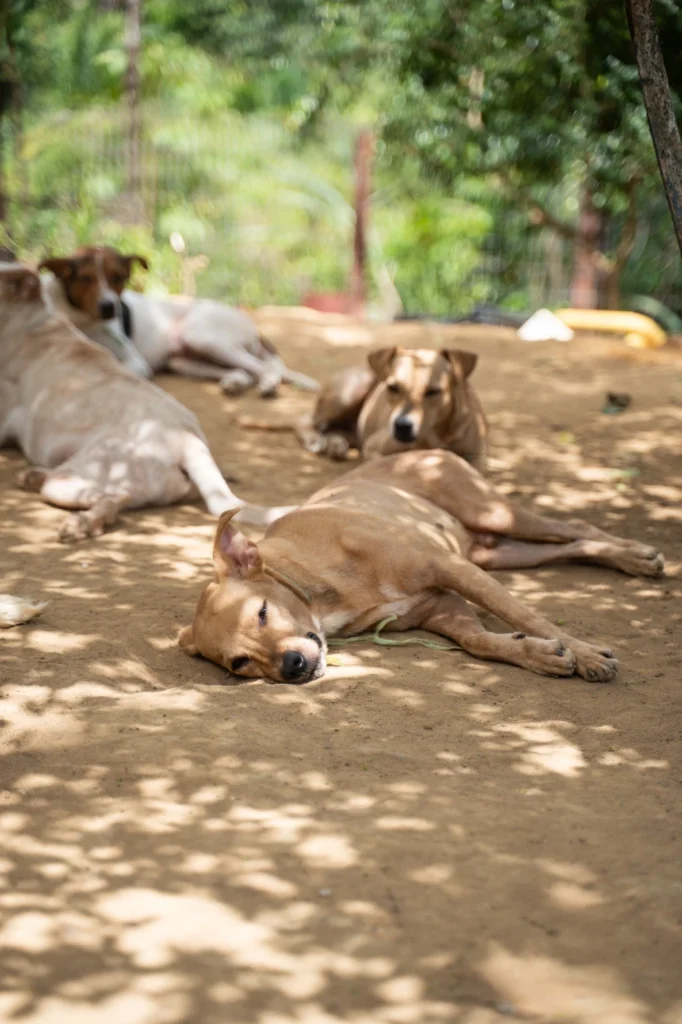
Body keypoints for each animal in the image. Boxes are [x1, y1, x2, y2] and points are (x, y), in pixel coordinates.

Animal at [0, 262, 287, 541]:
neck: (30, 319)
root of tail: (188, 440)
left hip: (75, 478)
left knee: (116, 498)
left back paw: (81, 523)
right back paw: (35, 477)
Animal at [39, 246, 319, 397]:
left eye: (118, 277)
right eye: (85, 278)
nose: (110, 307)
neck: (79, 317)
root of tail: (249, 323)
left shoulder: (135, 363)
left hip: (203, 338)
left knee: (266, 366)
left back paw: (269, 383)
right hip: (185, 361)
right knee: (246, 371)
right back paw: (235, 383)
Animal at [179, 449, 664, 684]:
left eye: (262, 612)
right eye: (240, 663)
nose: (292, 667)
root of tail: (425, 449)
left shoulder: (449, 568)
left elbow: (528, 616)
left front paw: (586, 654)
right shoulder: (444, 607)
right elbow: (481, 643)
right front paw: (538, 655)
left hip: (494, 512)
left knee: (576, 525)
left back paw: (636, 555)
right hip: (500, 550)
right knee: (577, 541)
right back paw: (630, 558)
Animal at [294, 347, 488, 469]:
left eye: (433, 391)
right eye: (393, 387)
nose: (402, 426)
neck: (437, 435)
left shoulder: (477, 460)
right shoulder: (373, 447)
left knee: (335, 431)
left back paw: (336, 444)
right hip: (348, 394)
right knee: (307, 418)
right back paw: (315, 440)